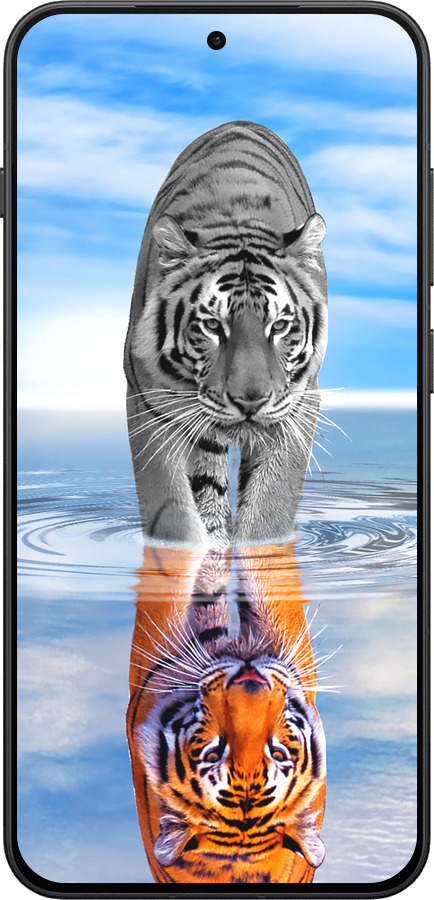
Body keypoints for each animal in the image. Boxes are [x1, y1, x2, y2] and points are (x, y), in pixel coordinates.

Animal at [124, 121, 328, 549]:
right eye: (212, 326)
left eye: (279, 326)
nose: (250, 401)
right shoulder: (148, 401)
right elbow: (172, 512)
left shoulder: (299, 403)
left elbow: (270, 509)